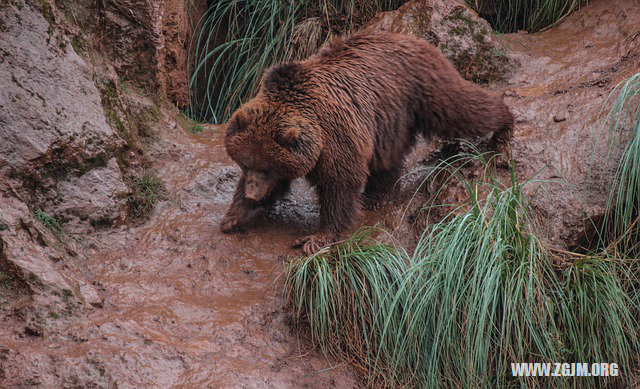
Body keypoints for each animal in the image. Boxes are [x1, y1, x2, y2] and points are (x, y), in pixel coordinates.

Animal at [220, 28, 516, 253]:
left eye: (266, 167)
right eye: (246, 164)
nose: (253, 192)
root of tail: (413, 38)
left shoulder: (334, 135)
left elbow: (341, 182)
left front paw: (317, 237)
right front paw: (233, 216)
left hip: (422, 89)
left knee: (461, 109)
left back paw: (504, 128)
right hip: (389, 119)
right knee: (389, 157)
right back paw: (377, 195)